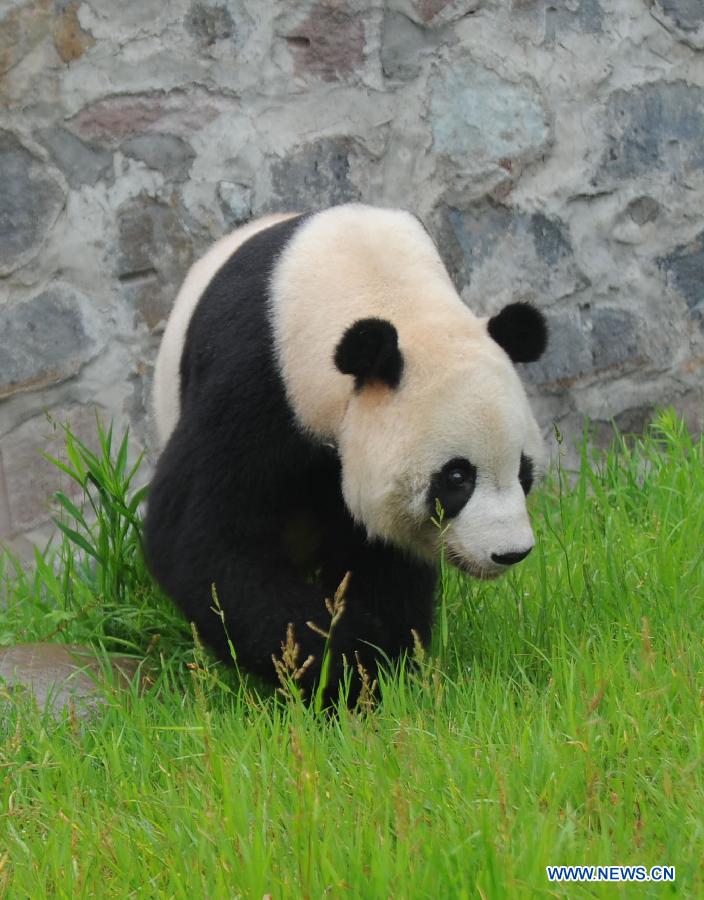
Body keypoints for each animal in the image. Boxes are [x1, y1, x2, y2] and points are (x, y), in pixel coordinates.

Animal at [146, 204, 548, 704]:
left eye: (523, 471)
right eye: (457, 477)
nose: (510, 553)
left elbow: (381, 557)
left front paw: (385, 663)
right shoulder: (256, 381)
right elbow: (204, 539)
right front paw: (348, 660)